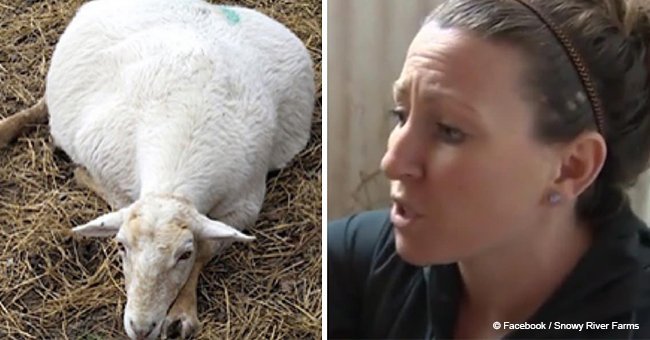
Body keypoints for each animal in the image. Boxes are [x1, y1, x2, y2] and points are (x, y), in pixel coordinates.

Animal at [0, 0, 314, 338]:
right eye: (121, 246)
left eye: (184, 254)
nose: (140, 327)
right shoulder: (108, 169)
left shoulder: (244, 205)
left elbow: (206, 248)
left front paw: (181, 313)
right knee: (43, 105)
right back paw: (7, 130)